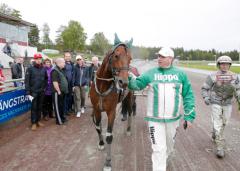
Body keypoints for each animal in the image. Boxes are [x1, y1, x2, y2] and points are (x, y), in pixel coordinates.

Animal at [90, 35, 133, 170]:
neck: (103, 86)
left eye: (130, 58)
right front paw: (101, 143)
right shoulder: (97, 109)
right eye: (116, 55)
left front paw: (108, 162)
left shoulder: (111, 112)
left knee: (130, 112)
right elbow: (98, 127)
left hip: (130, 98)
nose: (124, 83)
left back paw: (128, 129)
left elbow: (109, 136)